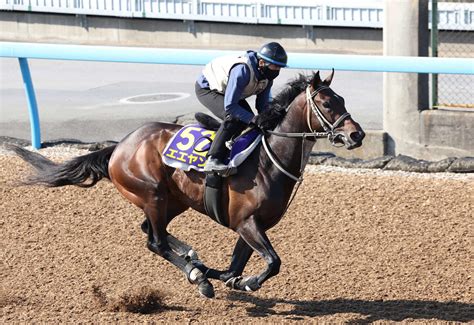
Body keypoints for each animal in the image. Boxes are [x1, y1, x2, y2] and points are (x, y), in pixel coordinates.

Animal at [9, 69, 366, 298]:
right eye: (327, 103)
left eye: (342, 99)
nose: (356, 135)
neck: (268, 159)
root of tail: (118, 147)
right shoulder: (247, 223)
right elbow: (273, 262)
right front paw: (239, 280)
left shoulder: (251, 225)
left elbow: (236, 268)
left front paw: (229, 278)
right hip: (152, 194)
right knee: (154, 241)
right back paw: (195, 274)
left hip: (174, 200)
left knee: (152, 232)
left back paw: (193, 259)